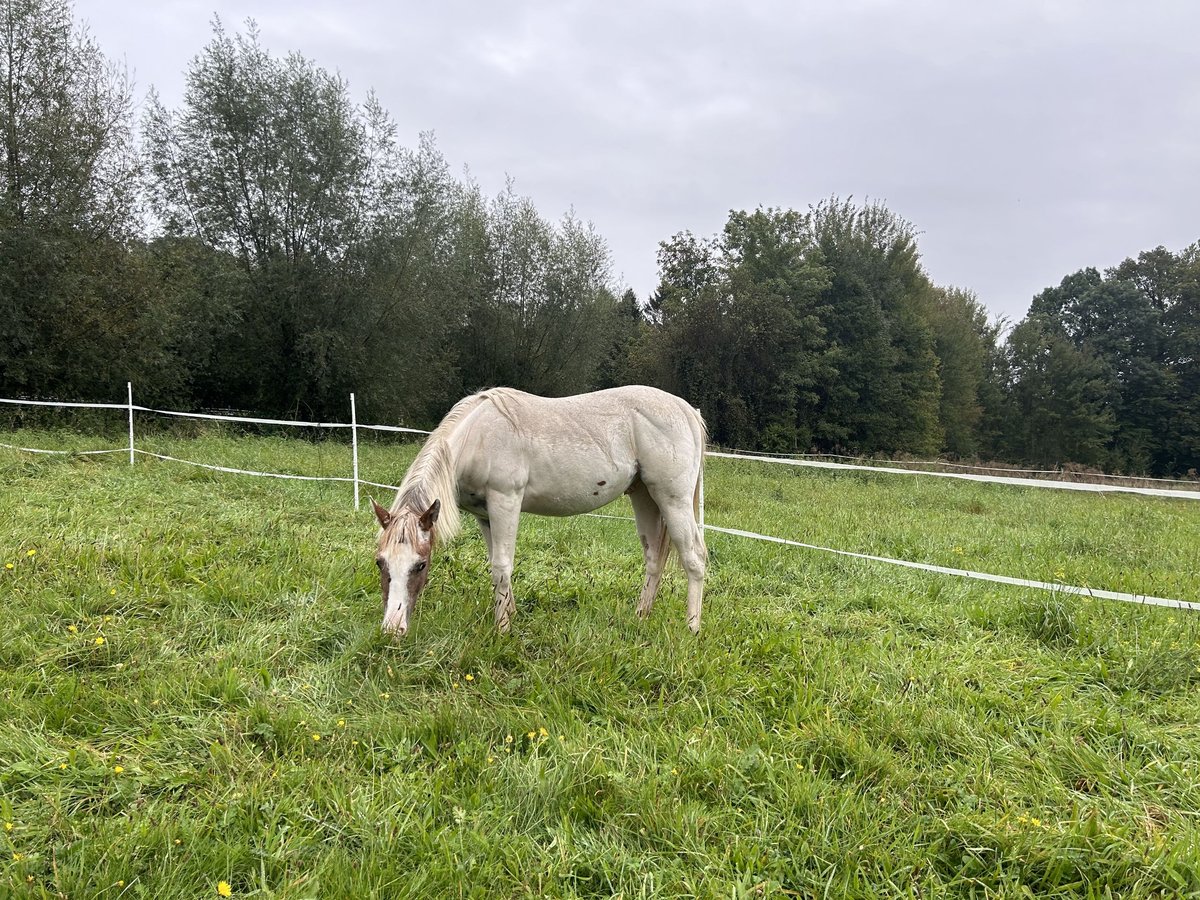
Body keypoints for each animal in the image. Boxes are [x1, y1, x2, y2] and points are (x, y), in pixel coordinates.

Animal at [369, 388, 705, 643]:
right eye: (380, 562)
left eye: (420, 565)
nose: (392, 630)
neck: (477, 436)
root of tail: (686, 410)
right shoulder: (485, 515)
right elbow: (496, 566)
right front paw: (510, 614)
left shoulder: (505, 501)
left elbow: (502, 567)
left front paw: (503, 631)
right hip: (644, 496)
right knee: (654, 559)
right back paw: (640, 618)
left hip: (673, 500)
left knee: (695, 558)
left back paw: (692, 628)